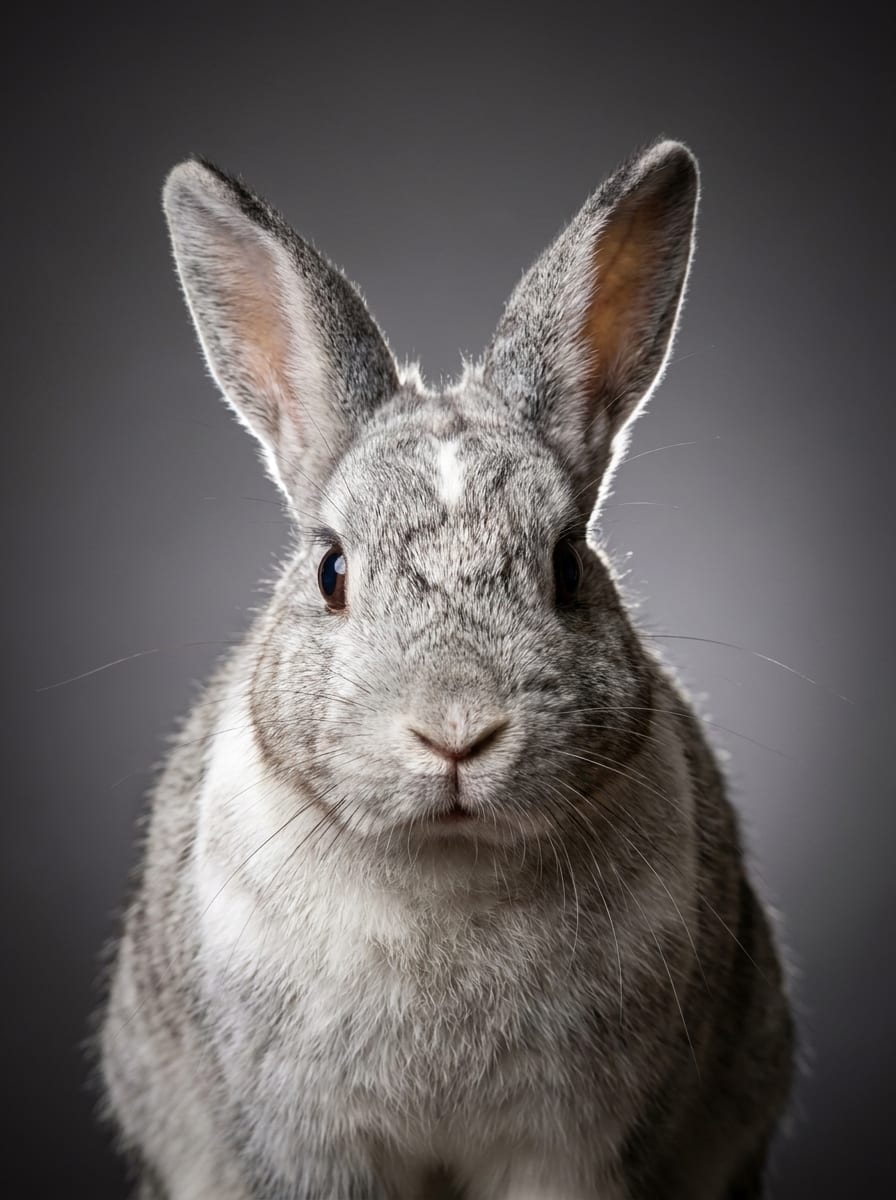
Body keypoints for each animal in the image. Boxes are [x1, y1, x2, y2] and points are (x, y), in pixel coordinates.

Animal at [98, 139, 795, 1200]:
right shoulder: (307, 1144)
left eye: (567, 565)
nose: (457, 731)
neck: (446, 865)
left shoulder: (571, 1146)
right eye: (332, 570)